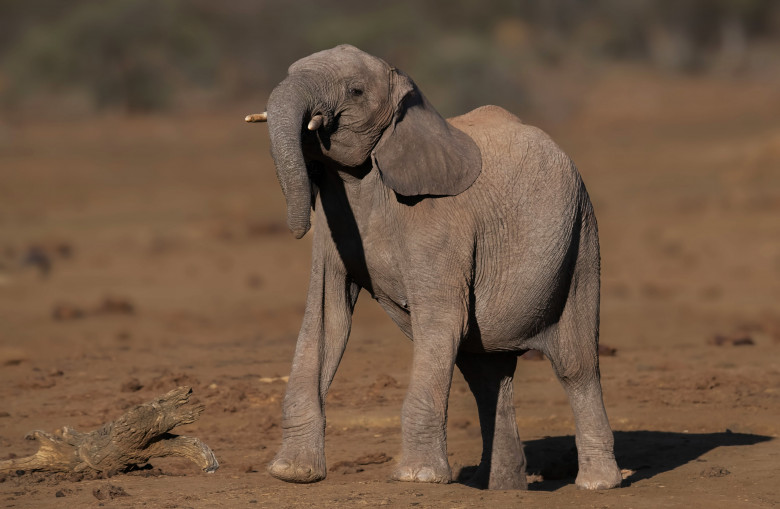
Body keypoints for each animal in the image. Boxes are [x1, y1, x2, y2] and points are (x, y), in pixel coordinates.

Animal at [248, 45, 620, 490]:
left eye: (355, 91)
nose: (296, 228)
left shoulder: (438, 222)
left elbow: (440, 319)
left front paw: (416, 478)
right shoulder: (333, 223)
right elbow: (325, 319)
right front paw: (292, 473)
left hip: (581, 239)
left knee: (575, 365)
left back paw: (597, 483)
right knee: (486, 375)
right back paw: (498, 488)